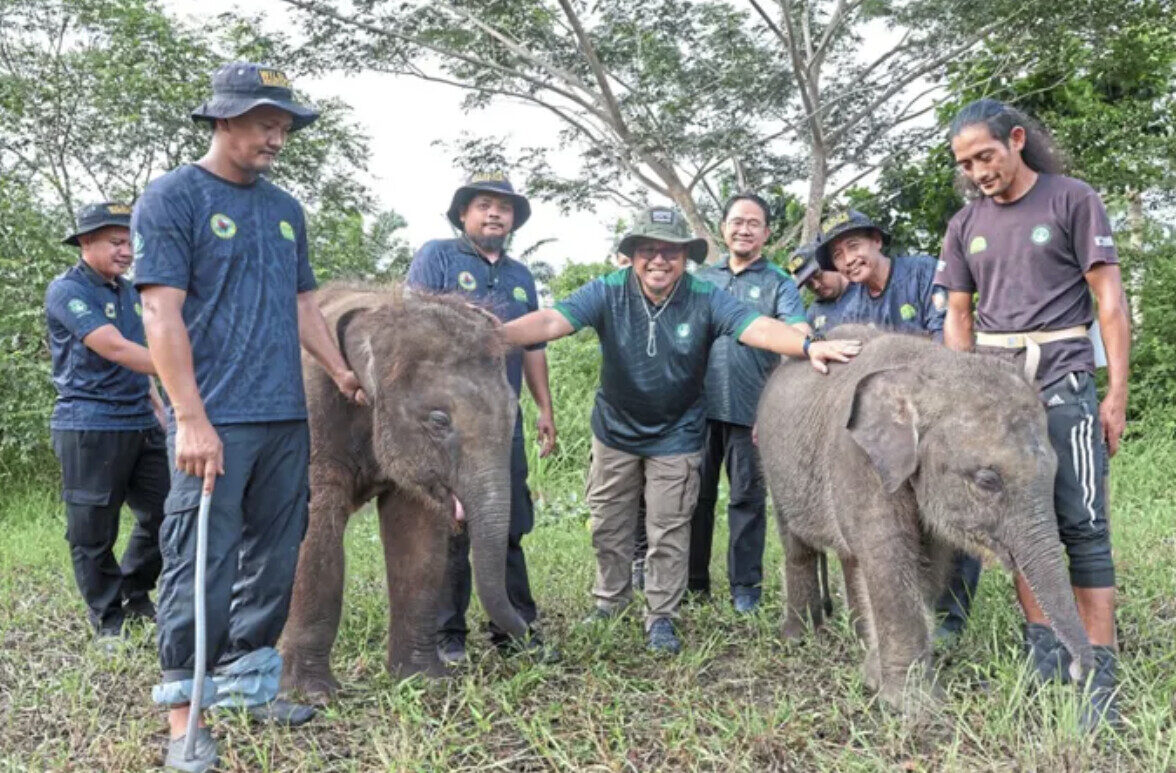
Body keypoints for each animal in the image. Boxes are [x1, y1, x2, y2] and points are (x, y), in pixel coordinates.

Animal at [278, 283, 527, 700]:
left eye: (514, 413)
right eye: (439, 420)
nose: (527, 634)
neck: (377, 312)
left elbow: (417, 539)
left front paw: (424, 680)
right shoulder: (311, 418)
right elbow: (313, 537)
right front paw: (313, 695)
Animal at [756, 325, 1094, 715]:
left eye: (1055, 470)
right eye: (987, 480)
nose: (1076, 671)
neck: (929, 368)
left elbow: (928, 561)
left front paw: (874, 677)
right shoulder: (855, 458)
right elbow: (888, 554)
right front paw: (913, 705)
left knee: (850, 556)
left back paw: (857, 638)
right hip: (773, 467)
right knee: (798, 548)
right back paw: (797, 638)